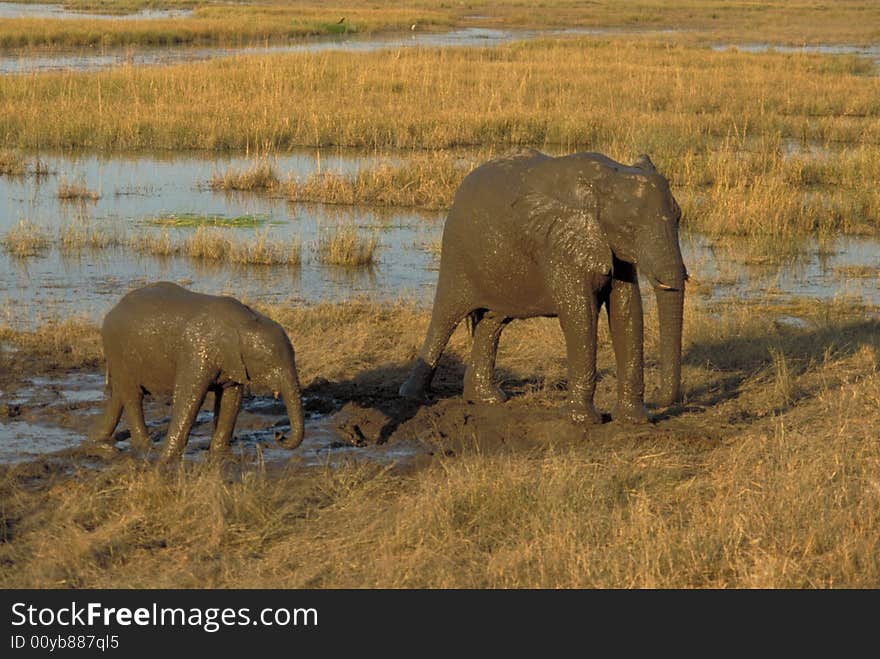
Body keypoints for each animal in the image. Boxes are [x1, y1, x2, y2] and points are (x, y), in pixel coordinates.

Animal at [89, 282, 302, 462]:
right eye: (266, 361)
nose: (279, 435)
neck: (243, 322)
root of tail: (112, 311)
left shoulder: (232, 361)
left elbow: (231, 399)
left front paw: (222, 456)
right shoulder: (196, 352)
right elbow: (188, 398)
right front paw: (166, 461)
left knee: (120, 394)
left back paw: (97, 441)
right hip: (118, 349)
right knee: (133, 396)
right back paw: (147, 448)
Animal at [398, 150, 688, 426]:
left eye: (679, 217)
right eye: (630, 226)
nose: (657, 396)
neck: (607, 177)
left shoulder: (614, 250)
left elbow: (627, 312)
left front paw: (634, 420)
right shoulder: (558, 243)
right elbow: (580, 315)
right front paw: (581, 420)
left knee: (492, 322)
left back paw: (487, 399)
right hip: (457, 253)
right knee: (445, 318)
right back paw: (413, 397)